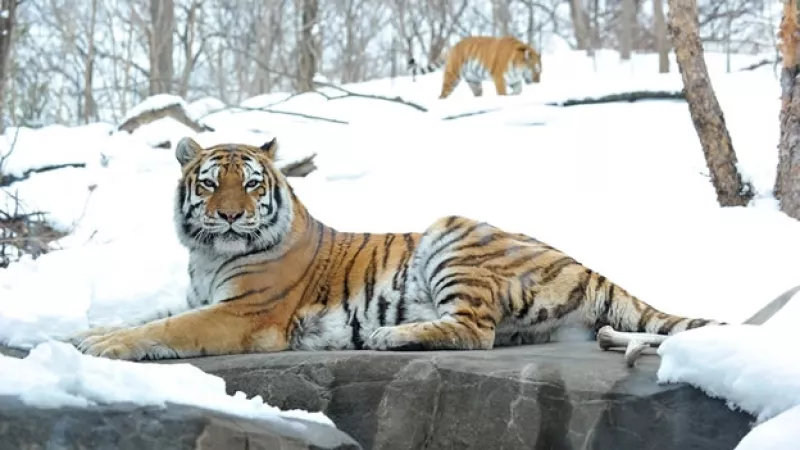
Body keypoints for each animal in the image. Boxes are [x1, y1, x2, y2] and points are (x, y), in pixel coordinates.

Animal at [68, 137, 723, 361]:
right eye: (209, 183)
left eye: (251, 184)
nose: (230, 215)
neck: (207, 254)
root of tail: (583, 264)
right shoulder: (198, 295)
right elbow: (147, 315)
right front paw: (85, 333)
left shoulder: (241, 312)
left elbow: (165, 329)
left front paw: (102, 346)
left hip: (452, 235)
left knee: (475, 331)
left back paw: (388, 335)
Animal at [408, 35, 542, 99]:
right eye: (535, 70)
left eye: (540, 72)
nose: (538, 83)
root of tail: (454, 46)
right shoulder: (499, 78)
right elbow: (502, 92)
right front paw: (505, 97)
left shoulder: (514, 80)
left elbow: (519, 90)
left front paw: (513, 96)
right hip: (452, 76)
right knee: (444, 93)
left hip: (474, 81)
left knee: (477, 92)